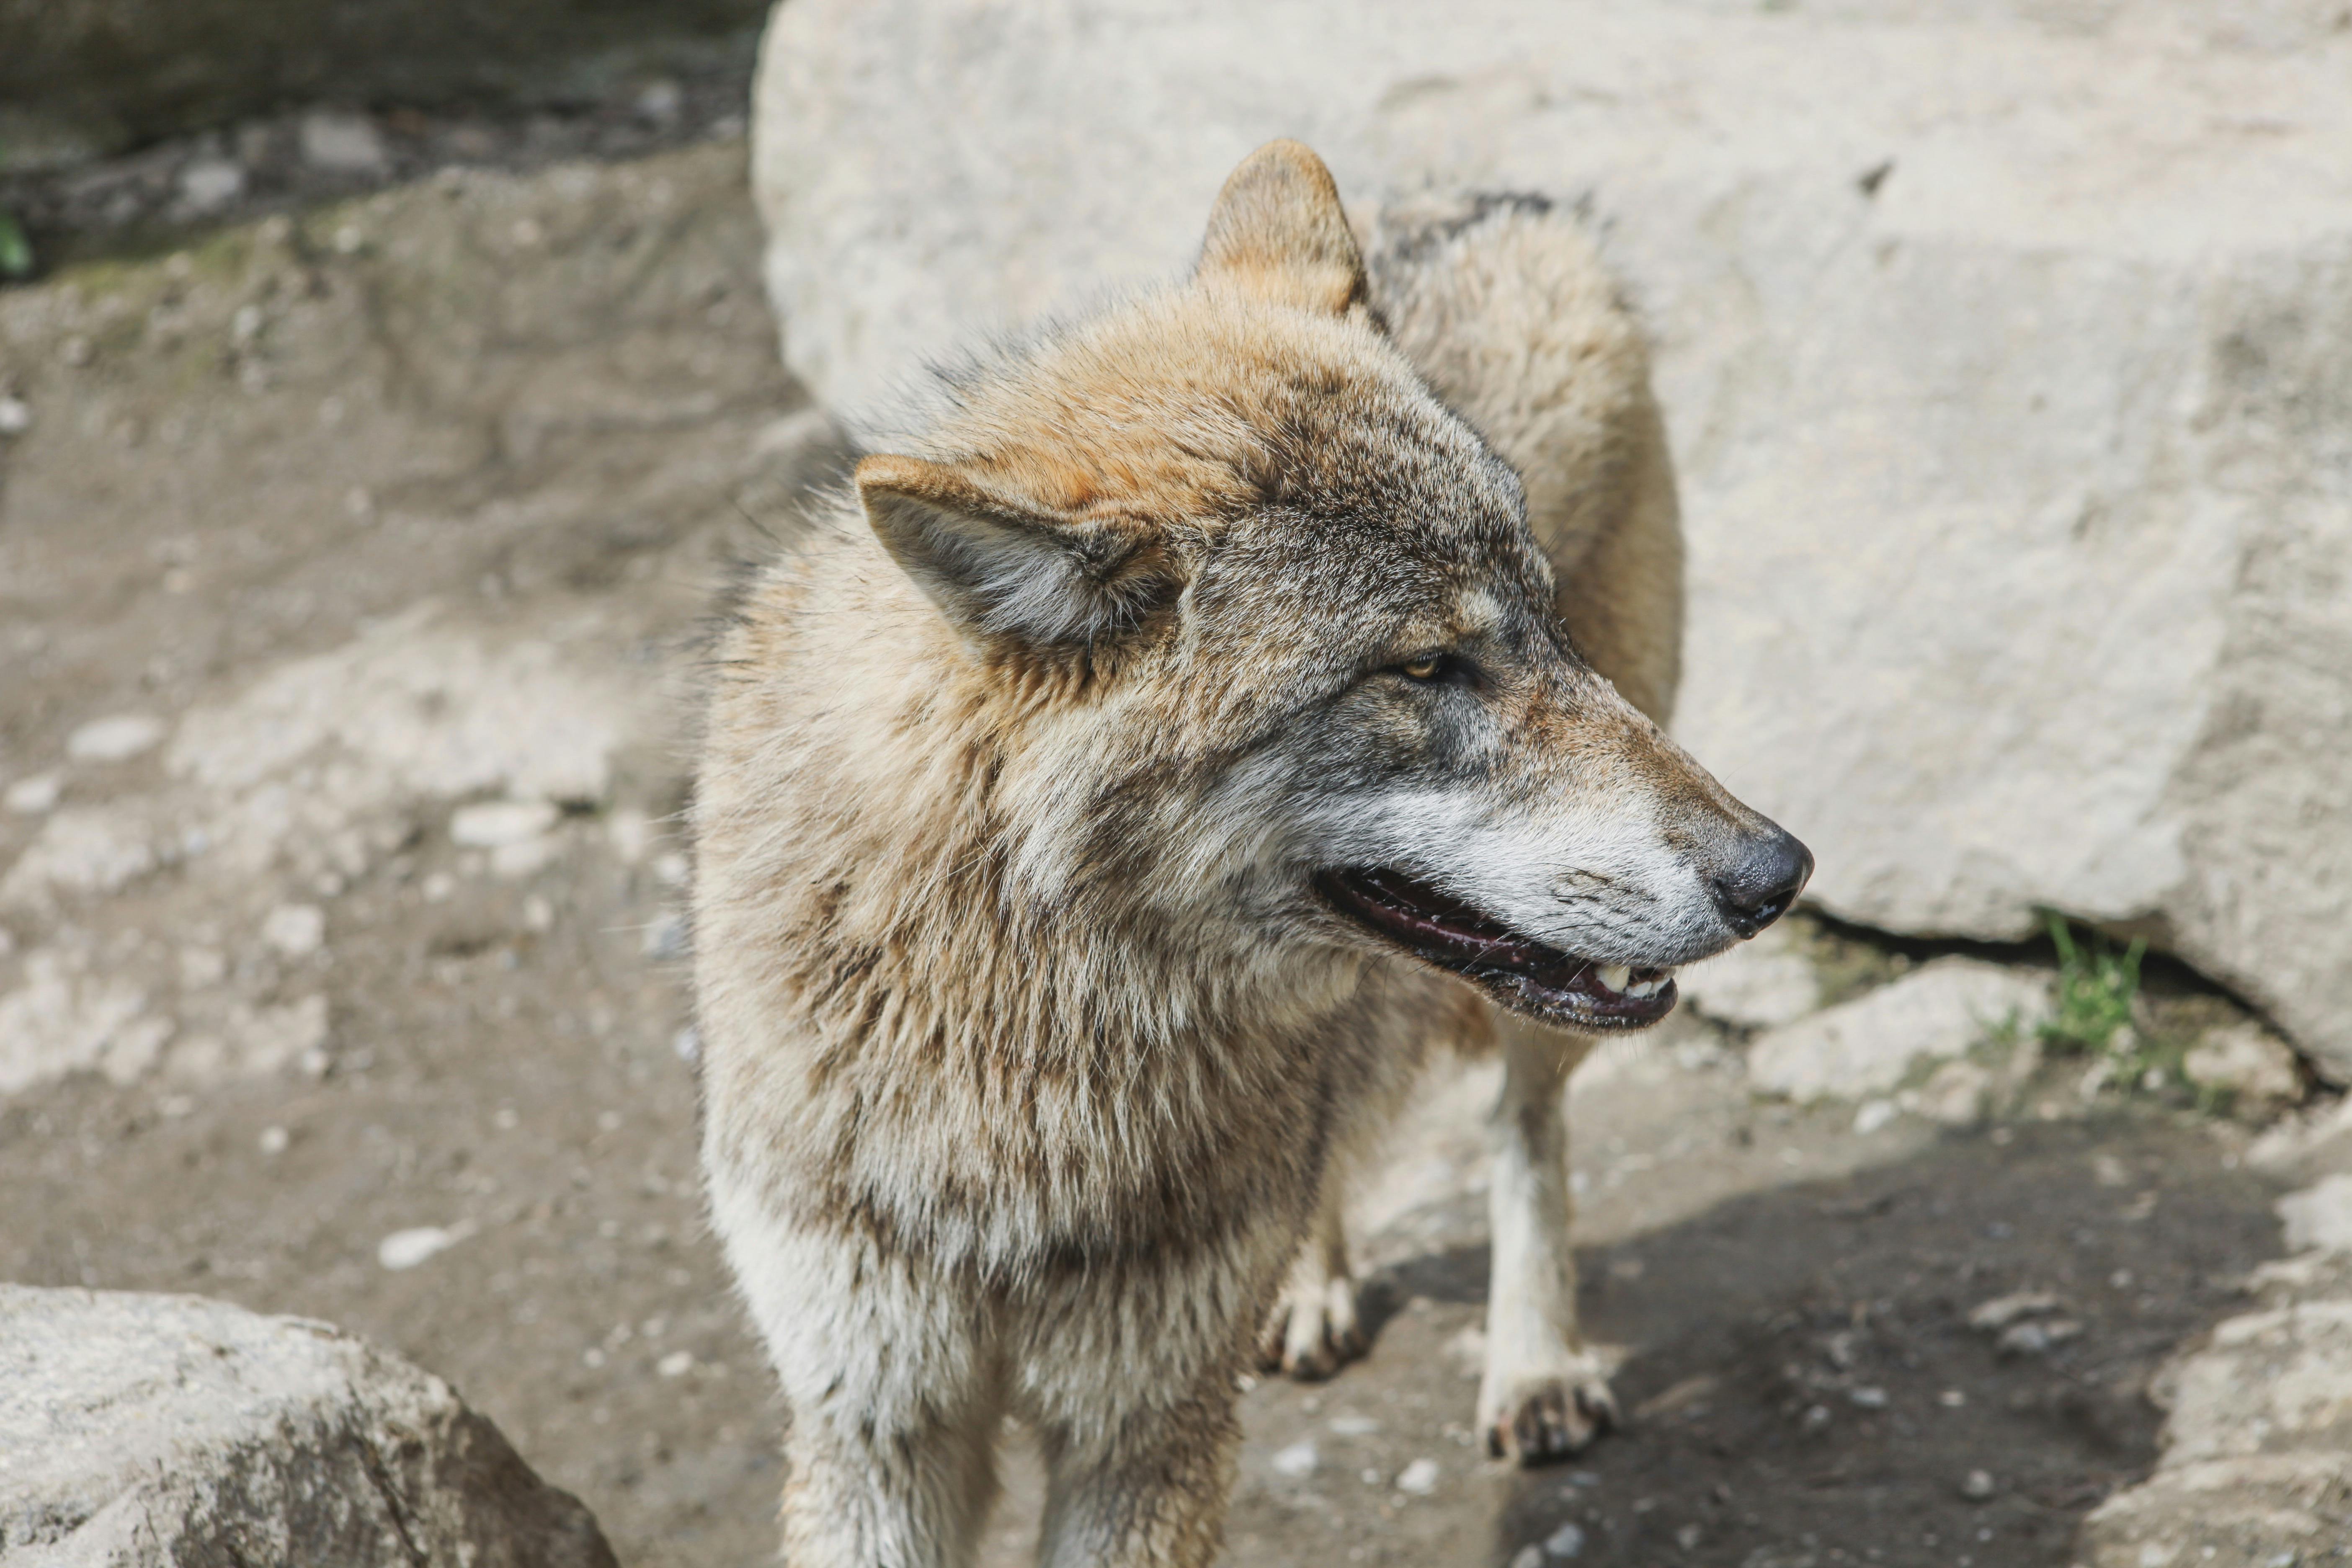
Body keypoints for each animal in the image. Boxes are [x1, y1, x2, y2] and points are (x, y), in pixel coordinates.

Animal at [692, 140, 1810, 1566]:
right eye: (1423, 669)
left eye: (1539, 621)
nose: (1777, 872)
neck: (1026, 1069)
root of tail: (1492, 196)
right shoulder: (873, 1425)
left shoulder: (1146, 1425)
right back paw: (1315, 1291)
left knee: (1523, 1130)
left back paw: (1534, 1366)